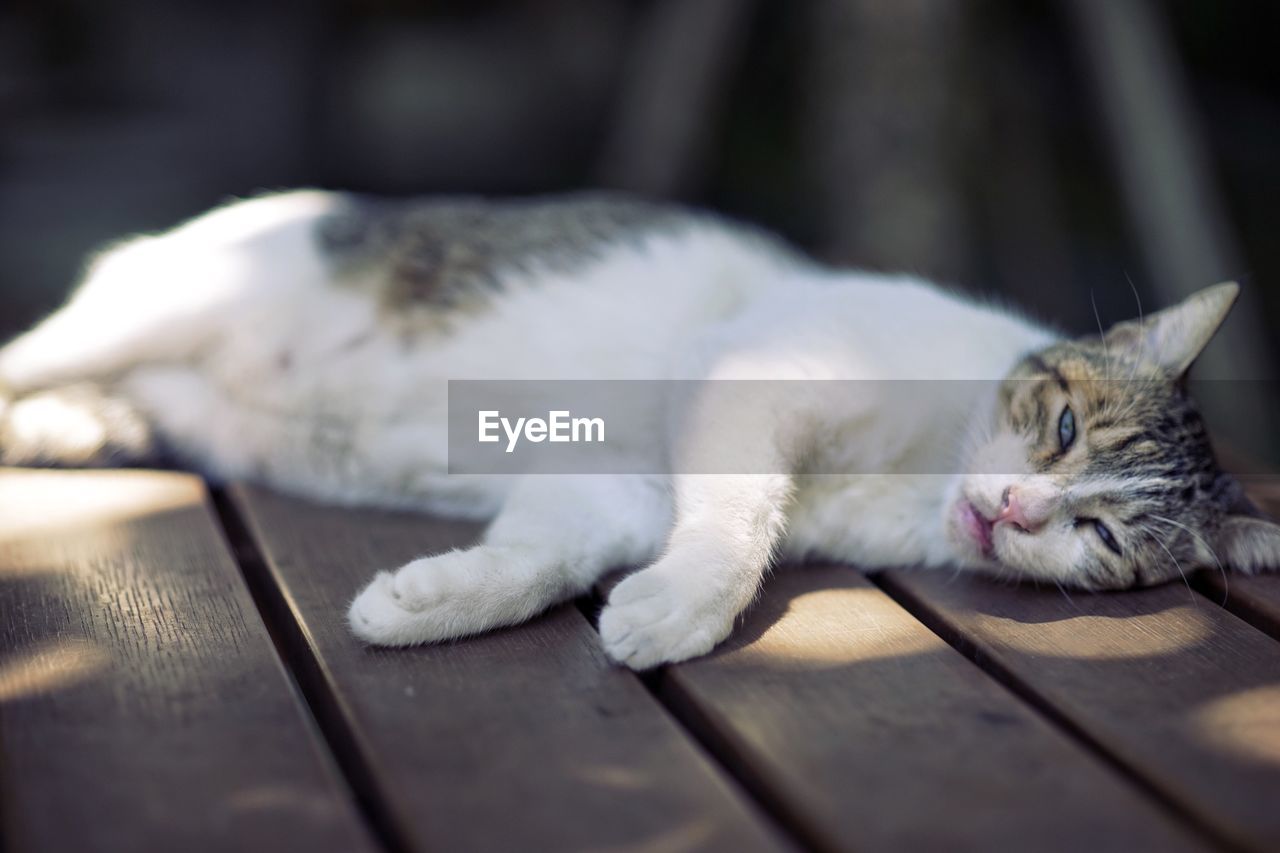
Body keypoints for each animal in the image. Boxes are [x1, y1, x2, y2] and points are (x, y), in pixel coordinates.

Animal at [2, 190, 1280, 666]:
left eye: (1101, 538)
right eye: (1059, 425)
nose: (1014, 506)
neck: (917, 480)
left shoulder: (613, 483)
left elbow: (543, 554)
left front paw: (436, 599)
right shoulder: (753, 374)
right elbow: (738, 514)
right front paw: (687, 605)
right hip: (157, 303)